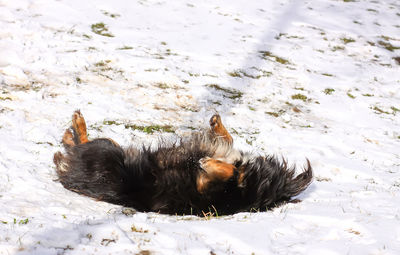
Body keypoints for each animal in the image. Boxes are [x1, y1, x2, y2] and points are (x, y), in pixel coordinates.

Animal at [53, 110, 312, 216]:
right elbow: (228, 141)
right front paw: (217, 125)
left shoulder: (206, 188)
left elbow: (227, 170)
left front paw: (209, 162)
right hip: (111, 148)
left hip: (108, 151)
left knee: (81, 144)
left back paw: (75, 127)